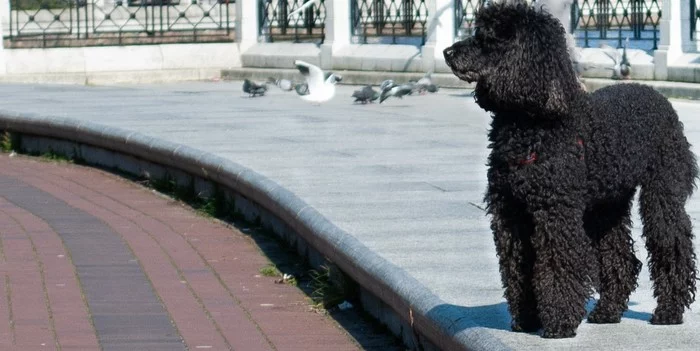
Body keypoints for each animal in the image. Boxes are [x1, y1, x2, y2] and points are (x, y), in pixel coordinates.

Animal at [446, 1, 696, 340]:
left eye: (489, 39)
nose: (447, 52)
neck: (531, 124)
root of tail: (658, 96)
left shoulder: (556, 211)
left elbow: (557, 264)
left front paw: (559, 323)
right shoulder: (510, 213)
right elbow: (517, 266)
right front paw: (526, 319)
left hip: (662, 190)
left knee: (672, 244)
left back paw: (669, 311)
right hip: (606, 203)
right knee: (621, 256)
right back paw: (607, 311)